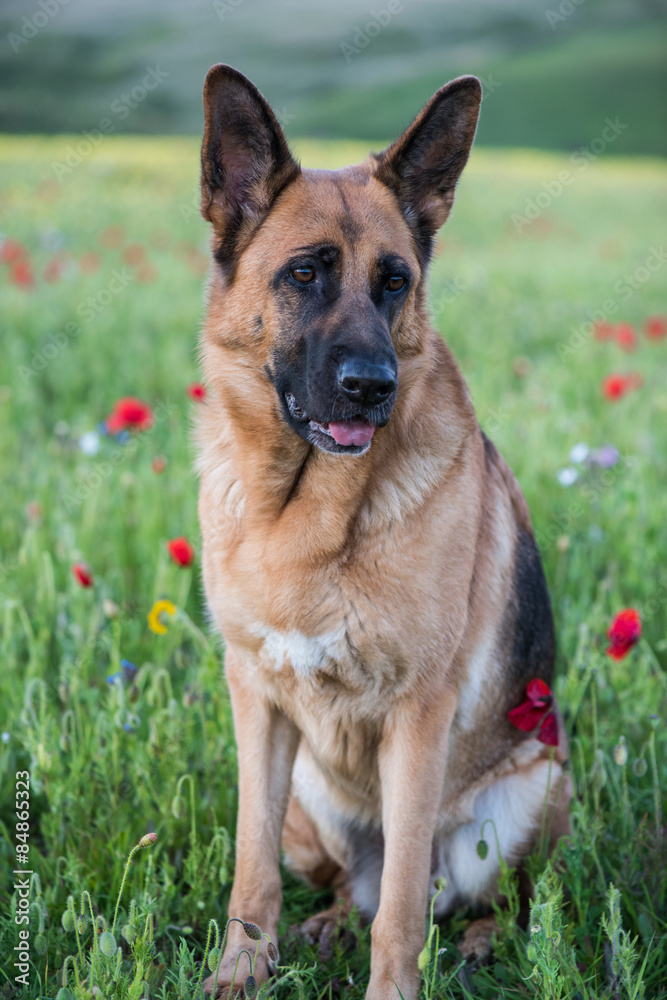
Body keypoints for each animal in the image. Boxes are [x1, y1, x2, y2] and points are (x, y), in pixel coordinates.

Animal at [196, 66, 572, 996]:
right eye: (304, 274)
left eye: (394, 281)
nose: (373, 386)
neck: (302, 513)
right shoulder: (256, 706)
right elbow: (250, 867)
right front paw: (239, 970)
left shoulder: (417, 718)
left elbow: (401, 907)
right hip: (309, 798)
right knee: (344, 888)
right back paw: (328, 922)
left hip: (531, 788)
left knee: (483, 899)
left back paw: (479, 944)